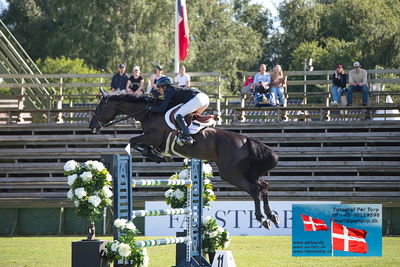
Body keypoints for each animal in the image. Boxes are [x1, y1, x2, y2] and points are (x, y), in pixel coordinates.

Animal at [89, 89, 280, 228]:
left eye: (99, 108)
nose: (92, 127)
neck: (149, 114)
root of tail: (246, 140)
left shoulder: (153, 137)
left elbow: (133, 141)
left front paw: (154, 154)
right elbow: (136, 142)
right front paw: (157, 155)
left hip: (231, 174)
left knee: (255, 189)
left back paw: (262, 219)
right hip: (246, 172)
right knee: (263, 186)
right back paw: (272, 216)